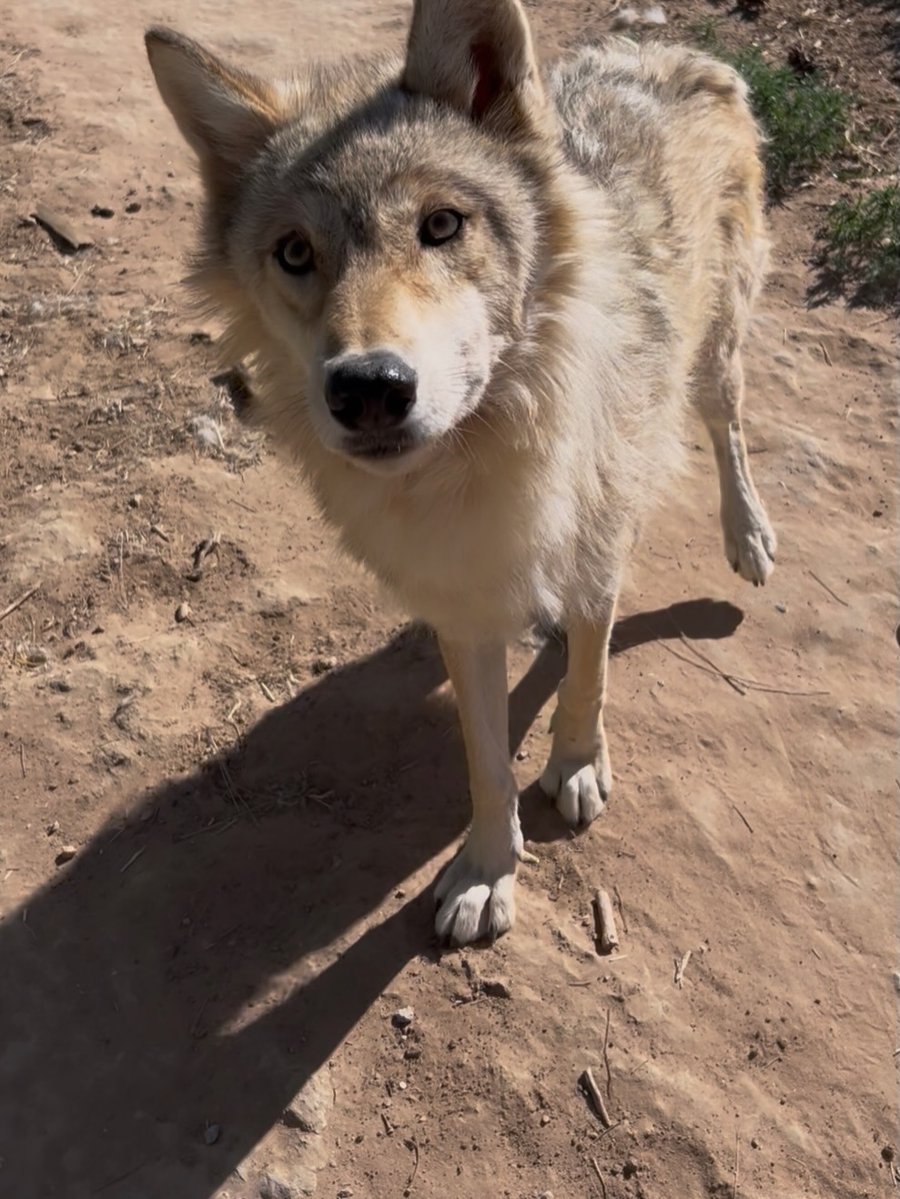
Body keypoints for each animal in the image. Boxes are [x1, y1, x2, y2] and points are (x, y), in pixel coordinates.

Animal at [146, 0, 776, 946]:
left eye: (441, 225)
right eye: (295, 253)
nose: (369, 388)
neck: (476, 464)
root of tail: (670, 50)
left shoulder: (597, 550)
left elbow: (590, 677)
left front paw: (576, 764)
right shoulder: (462, 602)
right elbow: (485, 763)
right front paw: (486, 872)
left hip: (711, 355)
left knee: (726, 425)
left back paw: (748, 538)